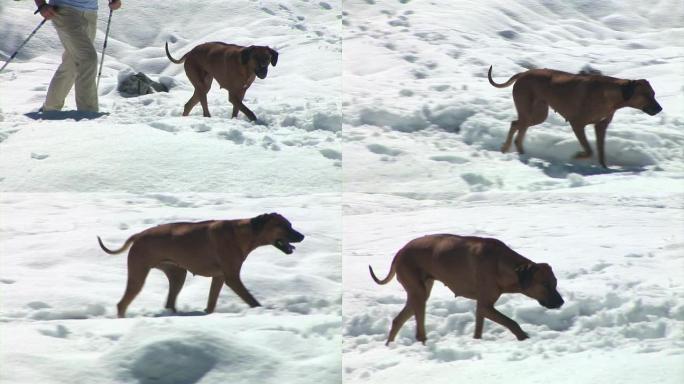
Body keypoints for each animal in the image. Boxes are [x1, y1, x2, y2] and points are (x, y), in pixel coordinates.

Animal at [96, 213, 302, 318]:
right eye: (284, 226)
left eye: (291, 224)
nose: (302, 236)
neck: (244, 233)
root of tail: (139, 235)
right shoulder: (232, 278)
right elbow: (251, 300)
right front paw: (262, 311)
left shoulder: (219, 277)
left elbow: (211, 302)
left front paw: (208, 314)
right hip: (138, 274)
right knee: (122, 304)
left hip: (177, 274)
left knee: (170, 301)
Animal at [372, 234, 564, 344]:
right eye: (545, 284)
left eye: (555, 282)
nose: (561, 302)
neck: (501, 264)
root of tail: (400, 252)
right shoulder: (486, 305)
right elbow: (512, 322)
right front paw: (524, 338)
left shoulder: (482, 306)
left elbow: (479, 327)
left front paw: (477, 342)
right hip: (418, 291)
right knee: (419, 329)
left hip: (420, 291)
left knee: (398, 320)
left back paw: (390, 346)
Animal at [488, 65, 660, 167]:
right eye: (646, 95)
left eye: (653, 93)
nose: (660, 108)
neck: (610, 94)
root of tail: (524, 73)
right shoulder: (577, 124)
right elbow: (589, 150)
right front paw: (578, 156)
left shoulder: (601, 126)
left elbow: (601, 150)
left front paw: (604, 168)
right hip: (528, 109)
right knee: (516, 125)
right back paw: (508, 149)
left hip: (538, 114)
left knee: (517, 126)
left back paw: (519, 152)